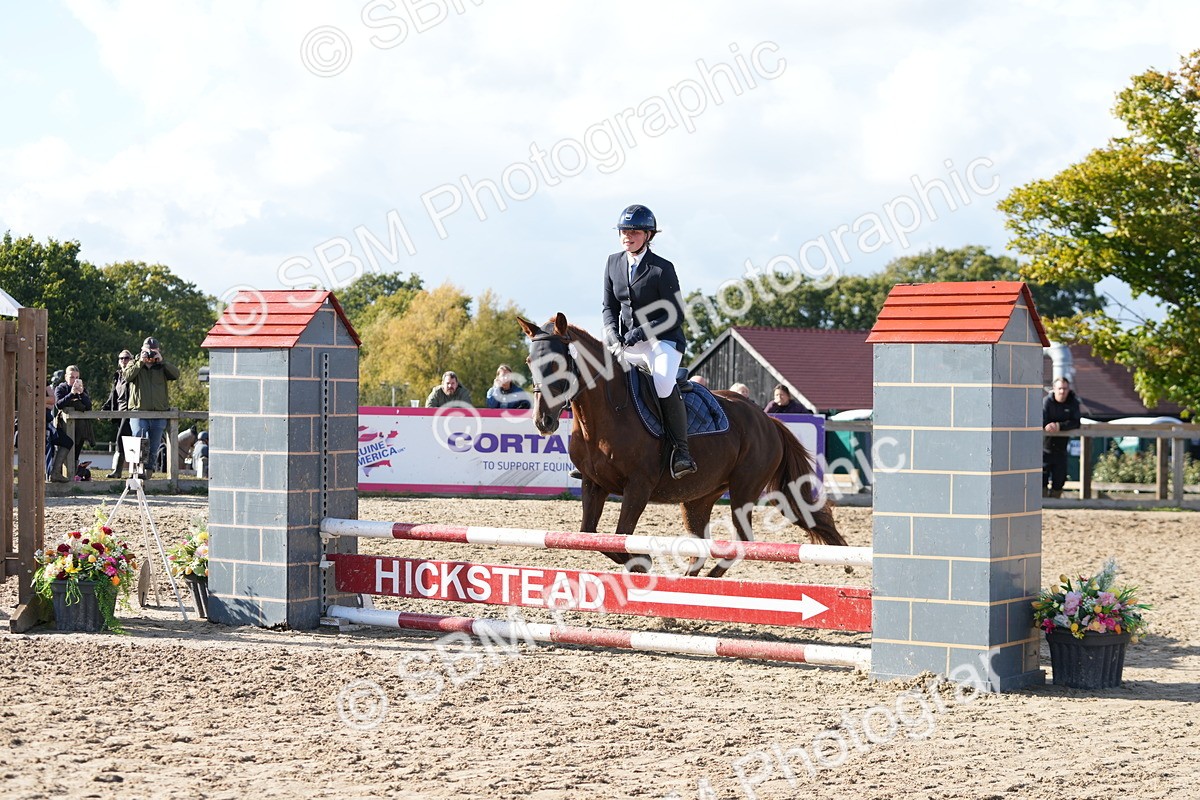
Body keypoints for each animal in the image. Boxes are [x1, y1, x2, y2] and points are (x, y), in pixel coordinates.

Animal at [518, 313, 846, 577]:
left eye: (557, 363)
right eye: (529, 362)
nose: (543, 421)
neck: (604, 415)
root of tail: (767, 420)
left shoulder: (638, 486)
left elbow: (621, 537)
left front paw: (642, 562)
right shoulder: (592, 483)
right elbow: (591, 536)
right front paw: (640, 562)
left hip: (744, 489)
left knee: (743, 540)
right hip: (698, 497)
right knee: (701, 542)